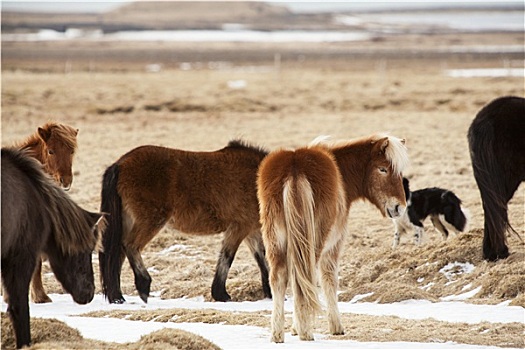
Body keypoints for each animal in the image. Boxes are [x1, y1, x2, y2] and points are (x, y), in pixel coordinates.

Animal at [98, 139, 270, 304]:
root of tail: (120, 163)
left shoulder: (251, 231)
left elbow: (263, 259)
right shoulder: (240, 227)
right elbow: (228, 257)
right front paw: (222, 295)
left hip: (128, 221)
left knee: (117, 254)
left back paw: (117, 297)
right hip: (150, 221)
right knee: (130, 246)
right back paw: (143, 286)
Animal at [256, 134, 408, 342]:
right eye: (383, 169)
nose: (400, 207)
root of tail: (294, 168)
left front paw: (294, 328)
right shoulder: (333, 247)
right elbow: (329, 280)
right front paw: (336, 327)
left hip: (275, 242)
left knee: (279, 278)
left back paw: (278, 335)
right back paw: (306, 332)